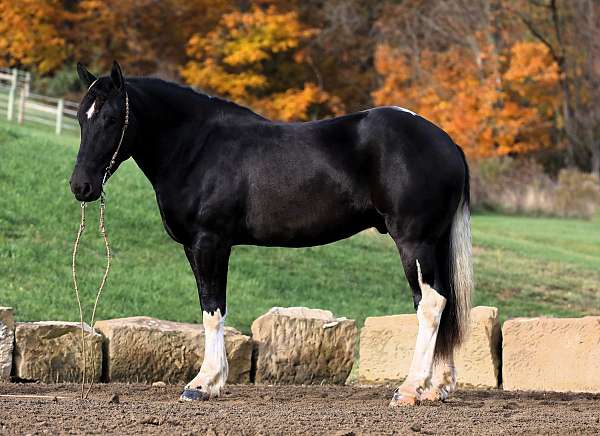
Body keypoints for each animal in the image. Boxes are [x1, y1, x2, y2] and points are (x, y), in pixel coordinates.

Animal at [70, 62, 474, 406]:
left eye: (110, 118)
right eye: (80, 117)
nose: (81, 186)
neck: (197, 147)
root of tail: (447, 143)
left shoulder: (209, 242)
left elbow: (212, 310)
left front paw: (203, 384)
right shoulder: (198, 246)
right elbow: (211, 307)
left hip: (413, 242)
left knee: (430, 304)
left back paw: (409, 390)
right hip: (431, 244)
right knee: (440, 301)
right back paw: (435, 388)